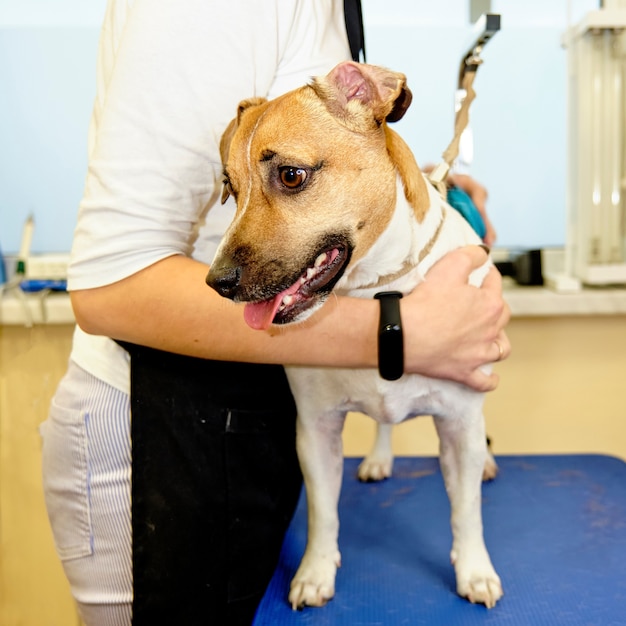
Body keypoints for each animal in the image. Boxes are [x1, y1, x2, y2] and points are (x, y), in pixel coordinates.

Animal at [205, 61, 502, 608]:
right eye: (229, 187)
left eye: (291, 175)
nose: (217, 283)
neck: (379, 292)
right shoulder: (316, 430)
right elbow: (323, 512)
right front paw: (315, 572)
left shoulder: (458, 425)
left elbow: (465, 510)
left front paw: (474, 570)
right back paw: (380, 458)